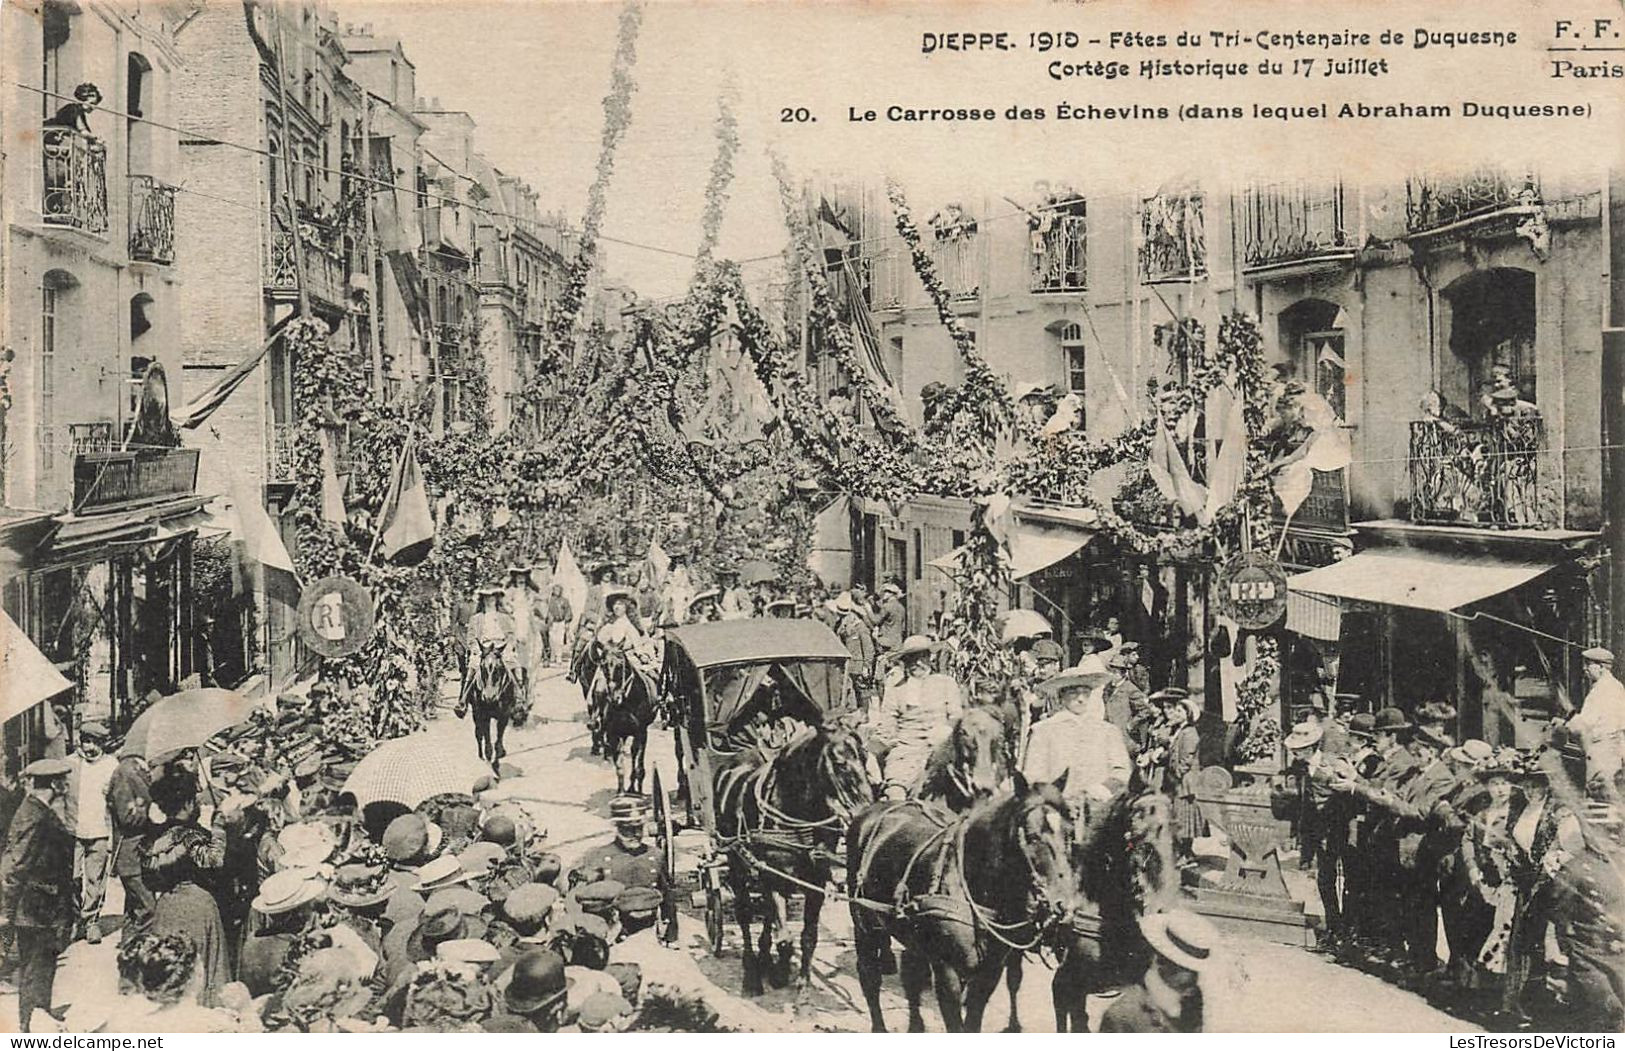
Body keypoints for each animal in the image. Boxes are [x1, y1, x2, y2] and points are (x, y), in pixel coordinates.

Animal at [455, 640, 529, 773]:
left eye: (499, 668)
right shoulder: (483, 715)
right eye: (482, 668)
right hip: (475, 713)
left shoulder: (504, 715)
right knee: (479, 734)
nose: (489, 697)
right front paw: (491, 764)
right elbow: (487, 743)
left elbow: (498, 743)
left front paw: (498, 759)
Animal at [588, 640, 656, 799]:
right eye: (604, 665)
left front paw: (636, 789)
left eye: (620, 665)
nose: (615, 697)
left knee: (635, 753)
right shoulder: (614, 734)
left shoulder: (641, 732)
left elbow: (637, 758)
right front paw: (621, 792)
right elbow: (619, 764)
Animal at [715, 717, 877, 1000]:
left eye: (865, 757)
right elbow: (785, 938)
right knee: (744, 914)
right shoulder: (772, 876)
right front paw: (780, 973)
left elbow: (807, 935)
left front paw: (802, 981)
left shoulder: (816, 881)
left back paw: (765, 958)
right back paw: (752, 974)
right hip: (736, 862)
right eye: (839, 762)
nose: (865, 810)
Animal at [851, 769, 1079, 1033]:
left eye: (1070, 835)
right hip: (864, 925)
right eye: (1031, 837)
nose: (1063, 906)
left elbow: (973, 1020)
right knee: (869, 977)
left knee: (911, 976)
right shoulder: (947, 973)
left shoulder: (989, 973)